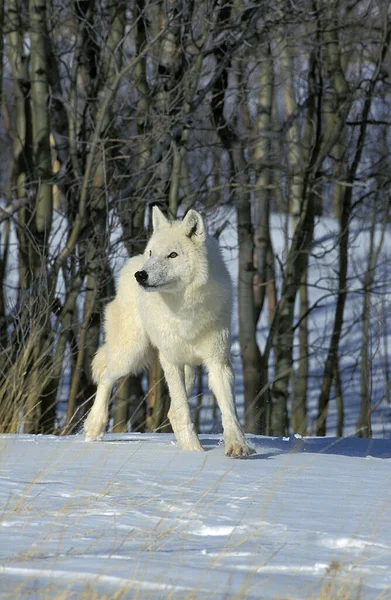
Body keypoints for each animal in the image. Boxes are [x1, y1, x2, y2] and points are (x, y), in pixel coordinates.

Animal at [84, 206, 256, 454]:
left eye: (172, 255)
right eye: (152, 253)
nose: (141, 275)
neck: (184, 311)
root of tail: (131, 263)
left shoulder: (218, 361)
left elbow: (229, 410)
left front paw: (237, 446)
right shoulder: (170, 360)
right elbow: (184, 409)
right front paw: (193, 451)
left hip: (189, 369)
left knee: (171, 411)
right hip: (130, 355)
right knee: (106, 377)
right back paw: (94, 425)